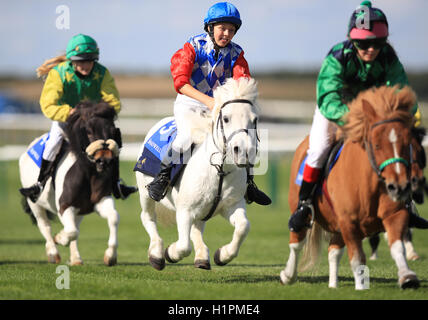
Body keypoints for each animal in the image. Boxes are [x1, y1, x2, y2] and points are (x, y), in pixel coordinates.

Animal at [19, 102, 121, 264]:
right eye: (89, 131)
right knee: (45, 226)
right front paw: (59, 238)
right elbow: (71, 231)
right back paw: (53, 253)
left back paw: (76, 258)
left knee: (74, 227)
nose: (104, 160)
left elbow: (113, 217)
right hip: (35, 204)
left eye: (112, 131)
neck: (88, 175)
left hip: (79, 210)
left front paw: (110, 256)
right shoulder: (64, 206)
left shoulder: (100, 201)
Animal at [135, 78, 260, 270]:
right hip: (145, 194)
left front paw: (222, 255)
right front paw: (170, 253)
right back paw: (156, 254)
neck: (219, 171)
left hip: (203, 209)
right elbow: (184, 246)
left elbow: (243, 227)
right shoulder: (184, 211)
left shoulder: (232, 205)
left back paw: (202, 256)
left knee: (197, 227)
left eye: (254, 119)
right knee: (148, 217)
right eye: (226, 118)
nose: (244, 152)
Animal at [280, 85, 420, 290]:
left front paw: (407, 277)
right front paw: (361, 289)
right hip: (300, 211)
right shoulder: (349, 222)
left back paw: (333, 284)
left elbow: (397, 247)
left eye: (407, 144)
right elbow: (357, 260)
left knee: (333, 250)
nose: (399, 187)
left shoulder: (394, 214)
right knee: (296, 243)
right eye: (376, 145)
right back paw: (288, 275)